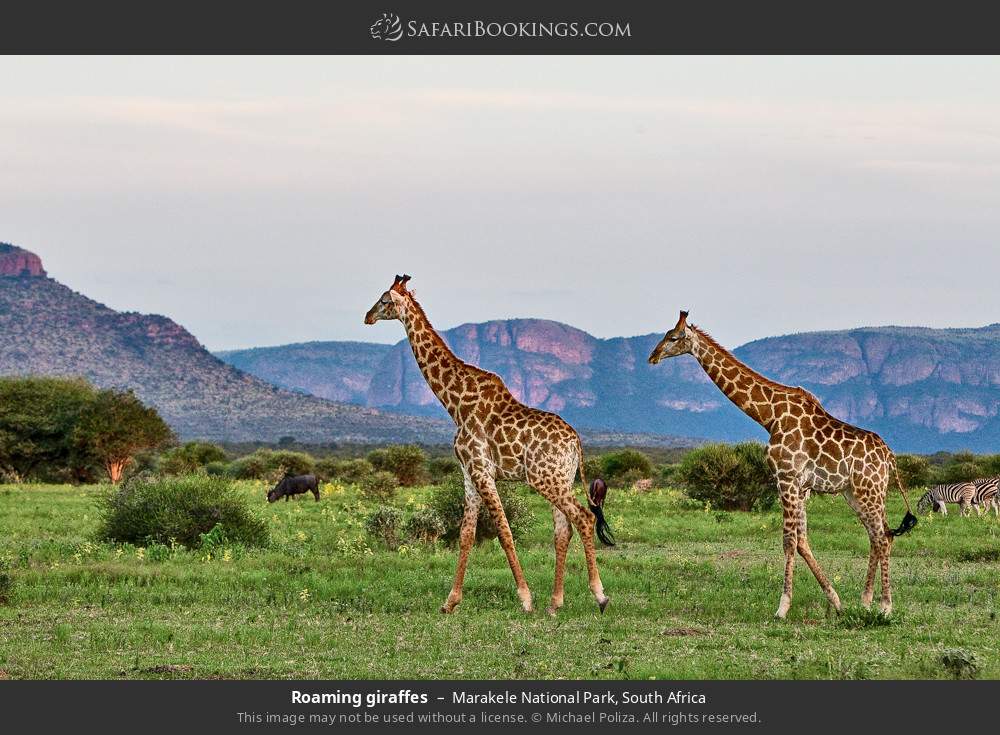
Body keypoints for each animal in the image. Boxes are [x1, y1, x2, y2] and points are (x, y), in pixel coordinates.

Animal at [364, 275, 613, 615]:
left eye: (385, 300)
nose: (367, 316)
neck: (455, 403)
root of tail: (576, 443)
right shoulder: (469, 474)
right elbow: (466, 534)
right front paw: (450, 602)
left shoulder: (482, 471)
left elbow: (504, 531)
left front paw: (525, 598)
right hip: (559, 478)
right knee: (564, 530)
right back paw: (555, 603)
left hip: (545, 479)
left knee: (584, 519)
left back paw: (599, 596)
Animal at [648, 311, 916, 618]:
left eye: (673, 337)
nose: (653, 356)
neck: (770, 415)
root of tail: (890, 457)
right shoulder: (801, 486)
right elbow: (802, 541)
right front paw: (836, 601)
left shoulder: (785, 477)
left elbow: (789, 541)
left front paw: (782, 607)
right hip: (856, 492)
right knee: (880, 535)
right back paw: (865, 601)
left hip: (868, 489)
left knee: (882, 537)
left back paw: (885, 607)